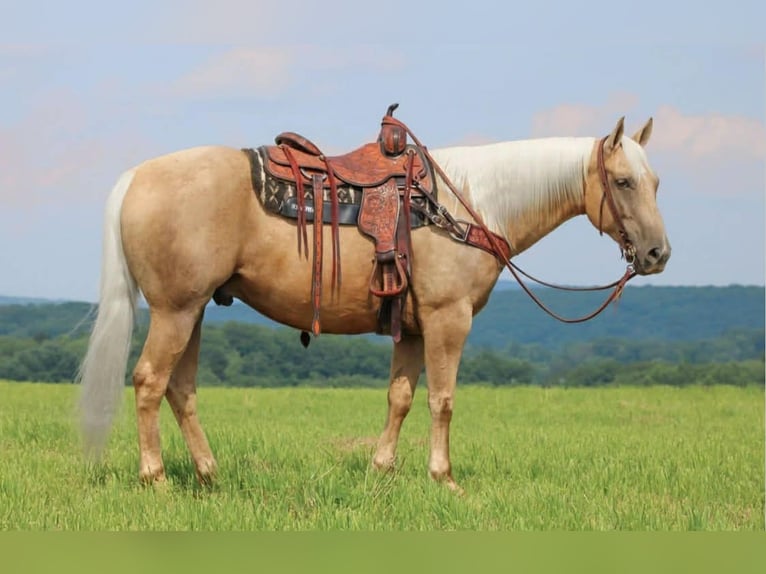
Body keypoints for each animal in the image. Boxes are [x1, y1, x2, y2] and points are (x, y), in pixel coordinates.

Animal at [78, 114, 670, 490]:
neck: (470, 205)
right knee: (150, 382)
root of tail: (138, 176)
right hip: (176, 311)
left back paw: (208, 474)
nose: (658, 253)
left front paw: (381, 470)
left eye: (657, 182)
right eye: (623, 181)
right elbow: (442, 400)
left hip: (194, 309)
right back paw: (156, 479)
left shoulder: (413, 326)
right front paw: (444, 478)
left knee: (180, 389)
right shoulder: (447, 319)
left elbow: (400, 397)